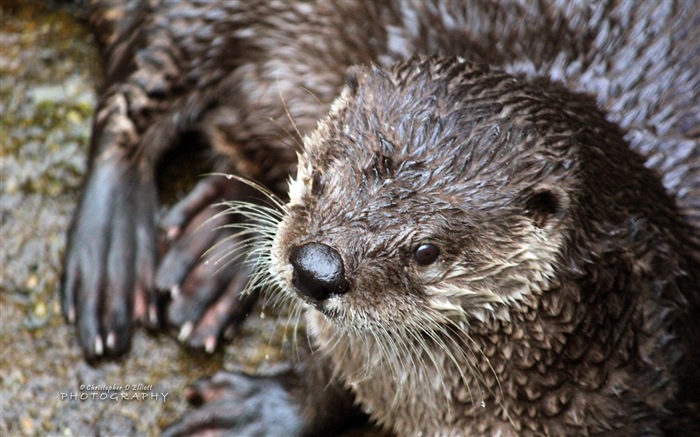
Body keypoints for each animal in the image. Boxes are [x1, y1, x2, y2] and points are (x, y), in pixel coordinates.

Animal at [63, 0, 696, 434]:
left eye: (427, 251)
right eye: (320, 177)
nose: (316, 269)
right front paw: (254, 413)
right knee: (136, 86)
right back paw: (114, 261)